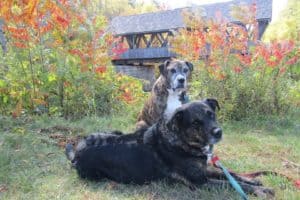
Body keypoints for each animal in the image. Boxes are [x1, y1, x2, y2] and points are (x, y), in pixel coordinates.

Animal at [65, 99, 274, 198]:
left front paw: (254, 181)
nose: (218, 132)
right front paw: (260, 190)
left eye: (211, 114)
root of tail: (76, 153)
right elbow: (230, 183)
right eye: (196, 122)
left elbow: (229, 174)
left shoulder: (205, 169)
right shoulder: (201, 182)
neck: (182, 141)